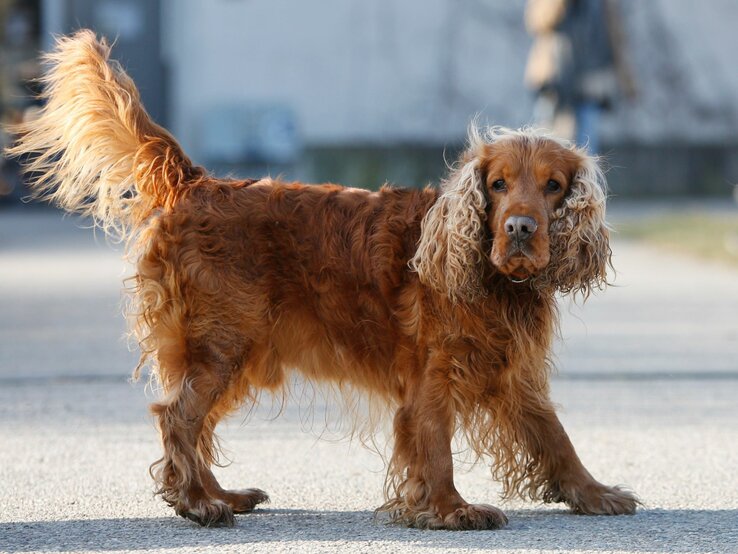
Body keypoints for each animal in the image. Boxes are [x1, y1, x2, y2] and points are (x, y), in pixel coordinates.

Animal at [8, 30, 636, 528]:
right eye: (499, 184)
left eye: (553, 186)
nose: (521, 228)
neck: (490, 277)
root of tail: (196, 182)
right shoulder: (432, 373)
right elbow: (437, 445)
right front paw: (450, 510)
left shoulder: (515, 373)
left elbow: (556, 437)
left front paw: (593, 494)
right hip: (223, 343)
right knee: (178, 418)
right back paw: (198, 505)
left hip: (235, 352)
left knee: (195, 426)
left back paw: (220, 495)